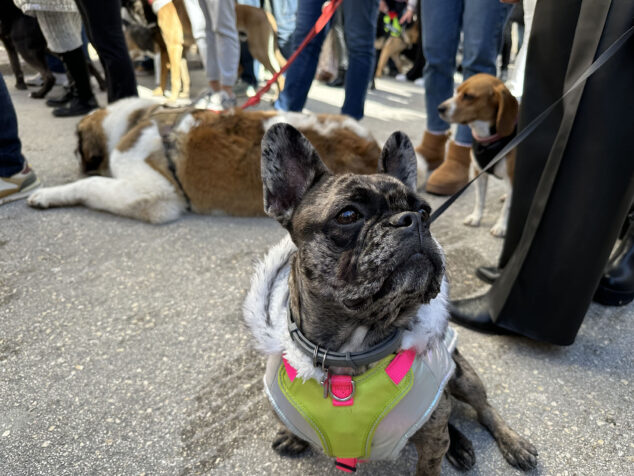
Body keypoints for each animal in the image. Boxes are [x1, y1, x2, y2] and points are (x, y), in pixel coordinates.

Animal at [244, 123, 536, 476]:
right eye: (348, 215)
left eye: (425, 210)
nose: (414, 219)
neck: (349, 353)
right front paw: (293, 436)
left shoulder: (432, 438)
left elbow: (430, 460)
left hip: (462, 376)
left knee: (483, 409)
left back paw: (510, 443)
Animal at [436, 73, 516, 237]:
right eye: (457, 91)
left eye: (469, 96)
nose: (440, 108)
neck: (488, 139)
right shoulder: (479, 173)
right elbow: (480, 200)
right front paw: (476, 217)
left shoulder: (512, 178)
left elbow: (507, 208)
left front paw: (501, 226)